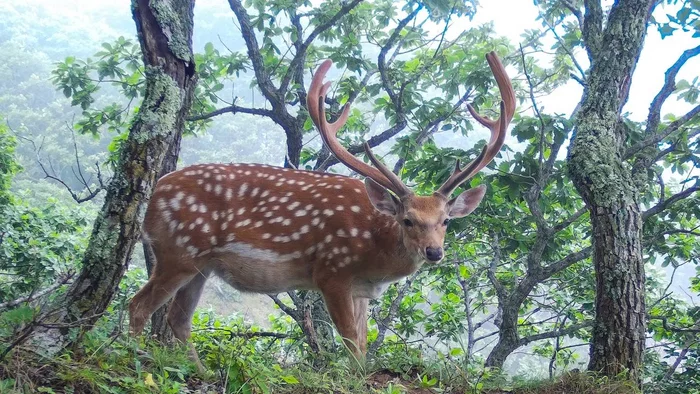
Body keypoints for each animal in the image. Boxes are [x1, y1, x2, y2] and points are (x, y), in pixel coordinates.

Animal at [129, 50, 516, 368]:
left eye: (446, 220)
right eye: (407, 220)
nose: (434, 252)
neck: (375, 253)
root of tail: (153, 195)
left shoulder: (360, 290)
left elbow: (362, 346)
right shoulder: (332, 272)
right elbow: (352, 346)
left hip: (202, 265)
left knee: (178, 319)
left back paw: (201, 371)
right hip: (179, 250)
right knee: (139, 305)